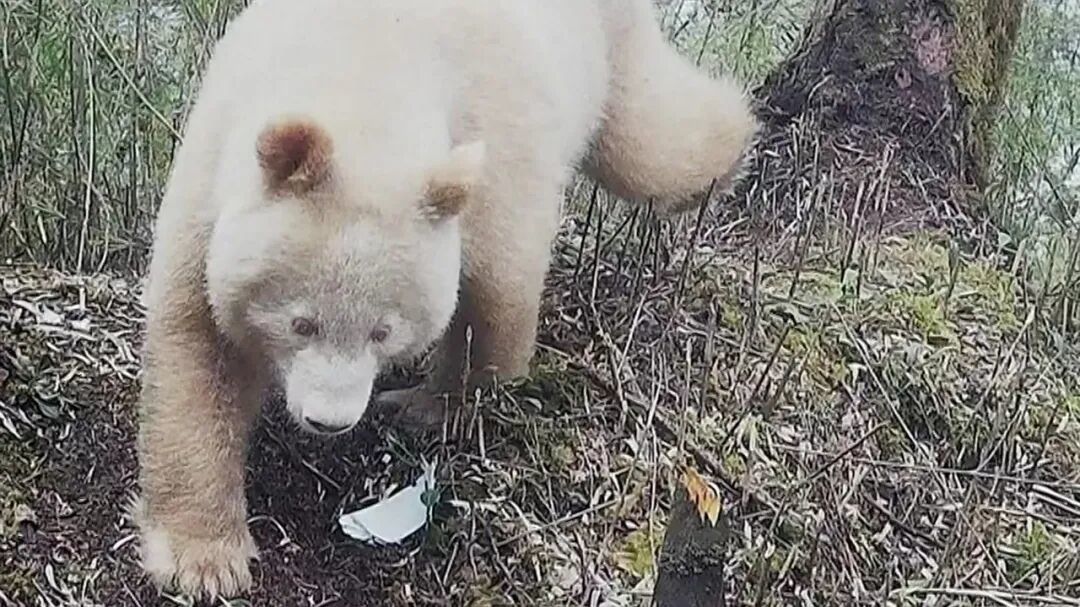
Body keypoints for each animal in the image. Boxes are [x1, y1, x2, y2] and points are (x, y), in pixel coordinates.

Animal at [134, 0, 757, 600]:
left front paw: (427, 407)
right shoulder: (216, 165)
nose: (329, 422)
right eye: (301, 324)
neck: (362, 64)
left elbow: (497, 287)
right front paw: (203, 561)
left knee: (652, 141)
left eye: (382, 331)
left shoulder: (490, 138)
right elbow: (198, 348)